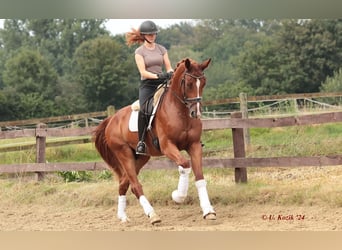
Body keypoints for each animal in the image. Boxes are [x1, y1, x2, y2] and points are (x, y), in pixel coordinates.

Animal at [93, 58, 216, 225]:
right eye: (189, 83)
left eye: (203, 83)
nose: (195, 113)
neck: (180, 112)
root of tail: (112, 119)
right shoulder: (167, 146)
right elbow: (185, 164)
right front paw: (178, 196)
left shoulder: (194, 145)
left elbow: (200, 178)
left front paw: (208, 211)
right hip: (124, 154)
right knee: (135, 185)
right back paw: (152, 215)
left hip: (141, 157)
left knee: (124, 183)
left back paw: (123, 216)